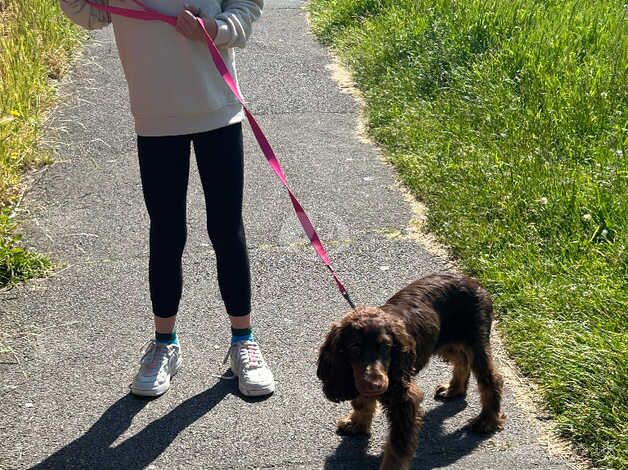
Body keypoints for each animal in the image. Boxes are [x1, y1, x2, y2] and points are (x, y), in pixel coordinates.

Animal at [318, 274, 506, 468]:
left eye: (386, 347)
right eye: (355, 347)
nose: (376, 386)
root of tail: (472, 280)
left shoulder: (404, 399)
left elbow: (397, 448)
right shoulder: (357, 378)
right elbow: (362, 402)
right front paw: (357, 424)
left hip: (475, 341)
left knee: (491, 379)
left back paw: (487, 420)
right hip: (443, 340)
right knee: (461, 359)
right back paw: (454, 389)